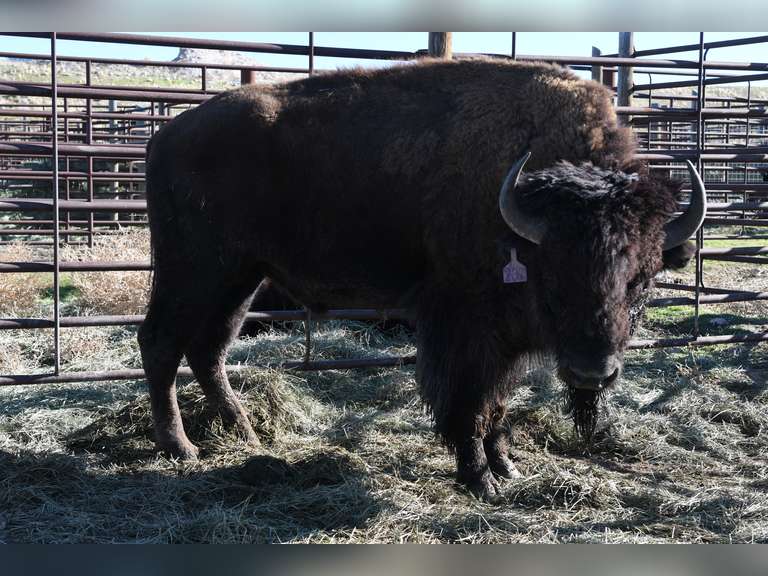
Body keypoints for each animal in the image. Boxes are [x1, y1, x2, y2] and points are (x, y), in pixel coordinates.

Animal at [138, 57, 706, 499]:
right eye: (554, 273)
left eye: (644, 279)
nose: (591, 374)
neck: (521, 215)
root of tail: (167, 135)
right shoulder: (466, 330)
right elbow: (469, 402)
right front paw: (480, 479)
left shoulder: (507, 342)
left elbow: (498, 402)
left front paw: (507, 465)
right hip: (192, 271)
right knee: (161, 342)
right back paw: (181, 447)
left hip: (240, 277)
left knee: (209, 348)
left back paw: (246, 432)